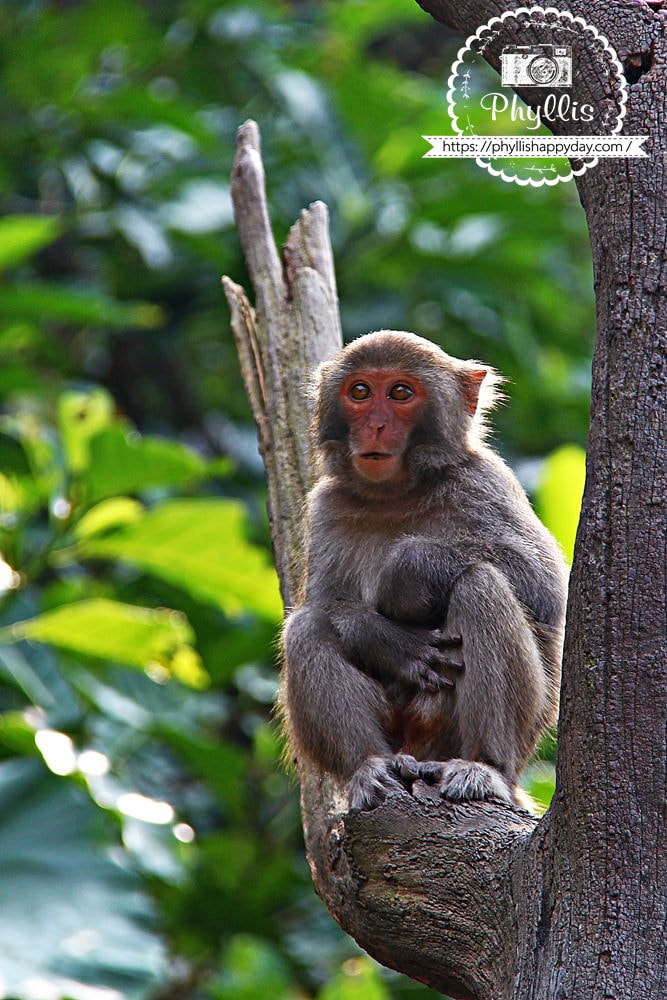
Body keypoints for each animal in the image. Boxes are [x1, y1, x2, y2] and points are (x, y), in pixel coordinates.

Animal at [282, 330, 568, 812]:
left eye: (400, 393)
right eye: (360, 392)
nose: (376, 426)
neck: (396, 493)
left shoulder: (485, 481)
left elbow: (544, 585)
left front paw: (408, 572)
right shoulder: (325, 507)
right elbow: (324, 603)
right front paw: (384, 640)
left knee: (481, 585)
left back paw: (482, 766)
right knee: (306, 627)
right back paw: (370, 768)